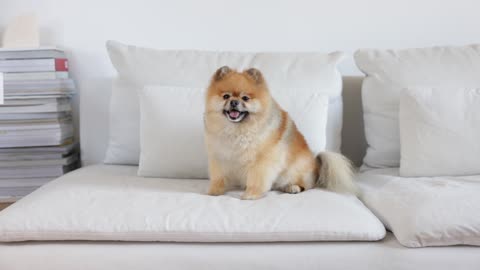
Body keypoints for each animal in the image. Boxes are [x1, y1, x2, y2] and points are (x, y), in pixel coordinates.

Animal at [202, 66, 356, 199]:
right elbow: (218, 177)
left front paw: (251, 194)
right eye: (226, 96)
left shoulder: (262, 161)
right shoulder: (220, 157)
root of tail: (316, 164)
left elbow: (257, 179)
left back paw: (293, 187)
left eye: (245, 98)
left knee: (306, 184)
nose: (234, 102)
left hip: (295, 170)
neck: (238, 130)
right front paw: (215, 191)